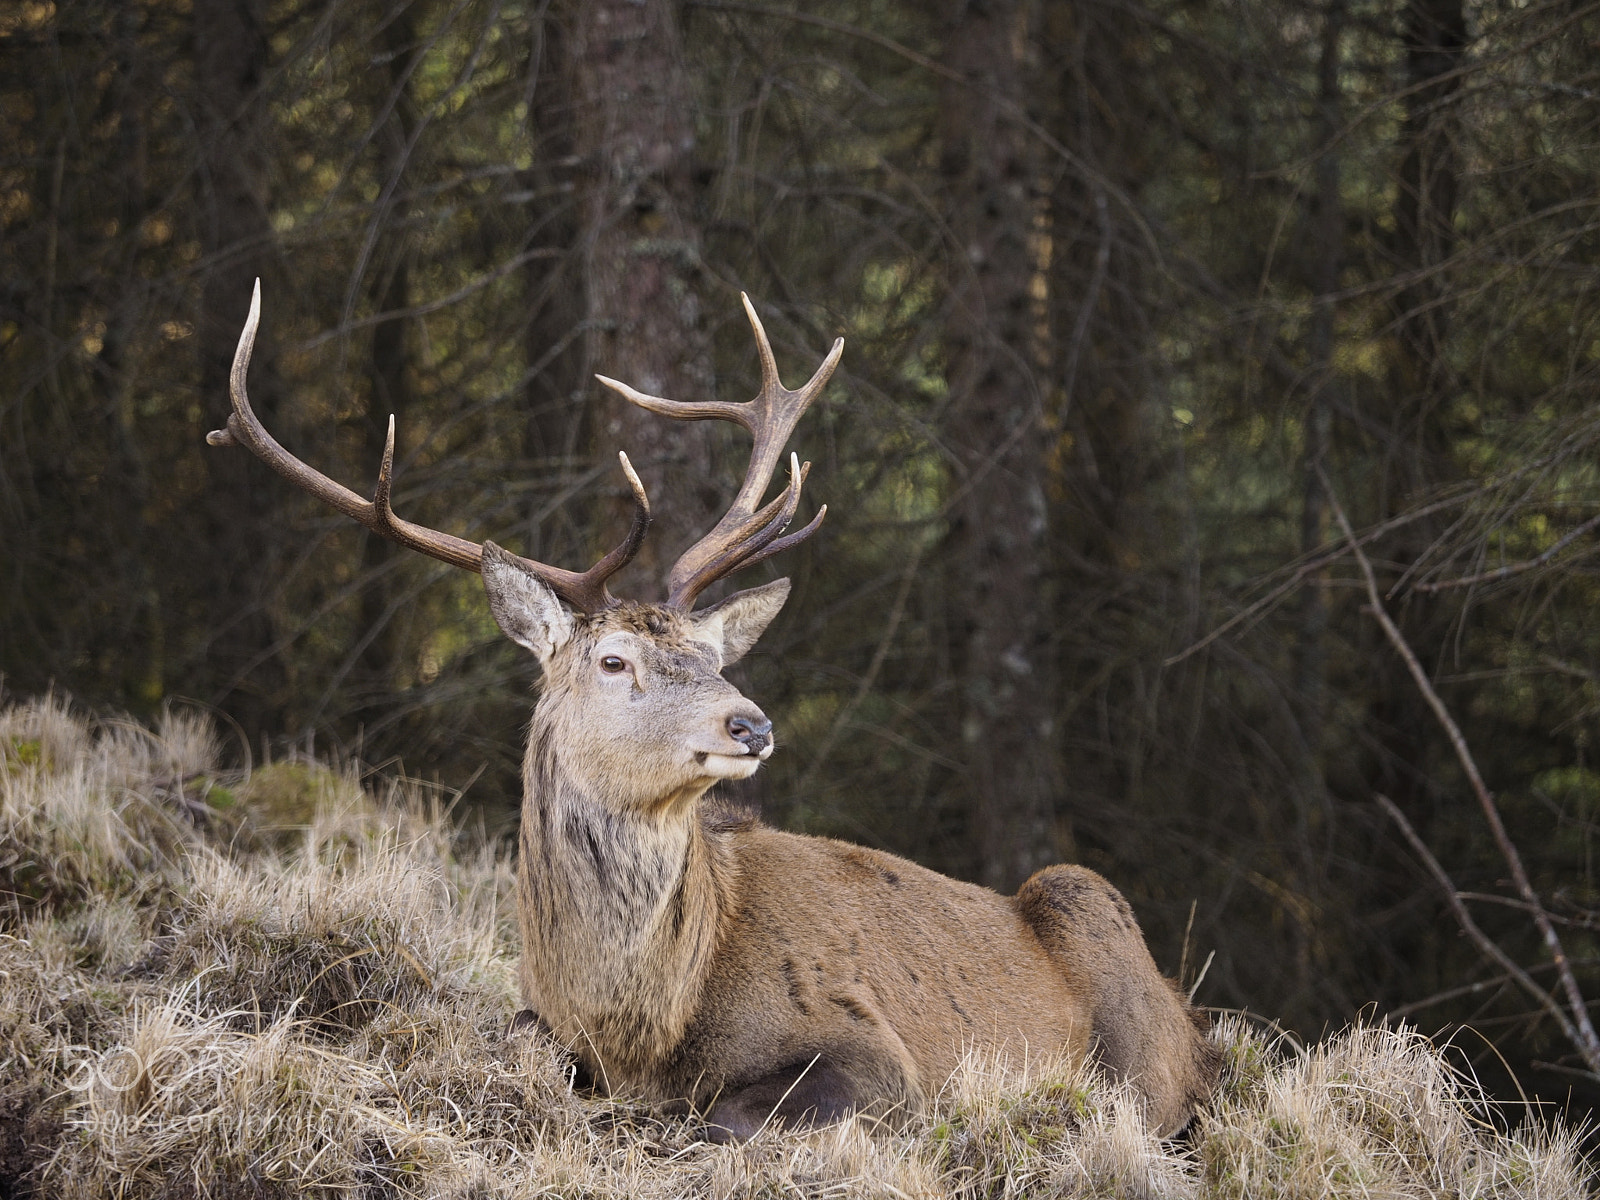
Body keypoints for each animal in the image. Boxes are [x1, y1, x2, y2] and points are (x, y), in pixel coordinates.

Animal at [209, 280, 1220, 1140]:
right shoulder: (543, 1021)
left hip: (1105, 953)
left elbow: (722, 1113)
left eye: (712, 657)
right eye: (613, 660)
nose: (751, 723)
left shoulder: (878, 1050)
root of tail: (1187, 1017)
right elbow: (526, 1043)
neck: (641, 1021)